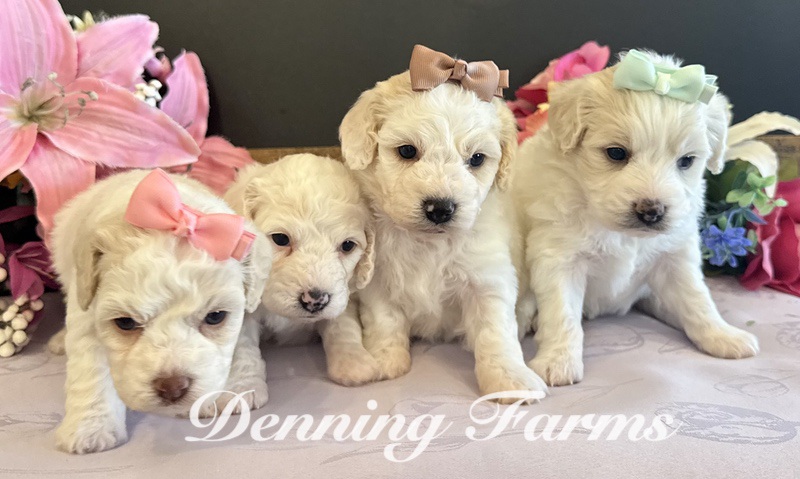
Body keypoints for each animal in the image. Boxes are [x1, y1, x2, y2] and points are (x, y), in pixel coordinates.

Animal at [51, 169, 270, 454]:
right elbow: (91, 372)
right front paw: (90, 429)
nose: (172, 388)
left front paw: (236, 390)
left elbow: (242, 345)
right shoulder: (86, 315)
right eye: (125, 322)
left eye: (215, 316)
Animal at [221, 153, 377, 407]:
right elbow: (240, 346)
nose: (315, 300)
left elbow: (342, 325)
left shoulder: (343, 294)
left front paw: (354, 363)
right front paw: (243, 389)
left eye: (347, 245)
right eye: (280, 239)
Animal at [337, 45, 547, 402]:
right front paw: (386, 360)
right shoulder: (379, 282)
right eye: (407, 151)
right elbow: (385, 321)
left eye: (476, 159)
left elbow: (496, 334)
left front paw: (510, 379)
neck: (429, 242)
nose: (440, 208)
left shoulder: (488, 280)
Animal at [512, 49, 759, 387]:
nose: (651, 211)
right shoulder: (559, 257)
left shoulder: (675, 255)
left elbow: (697, 298)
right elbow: (562, 313)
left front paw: (722, 335)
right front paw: (558, 361)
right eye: (616, 153)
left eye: (686, 161)